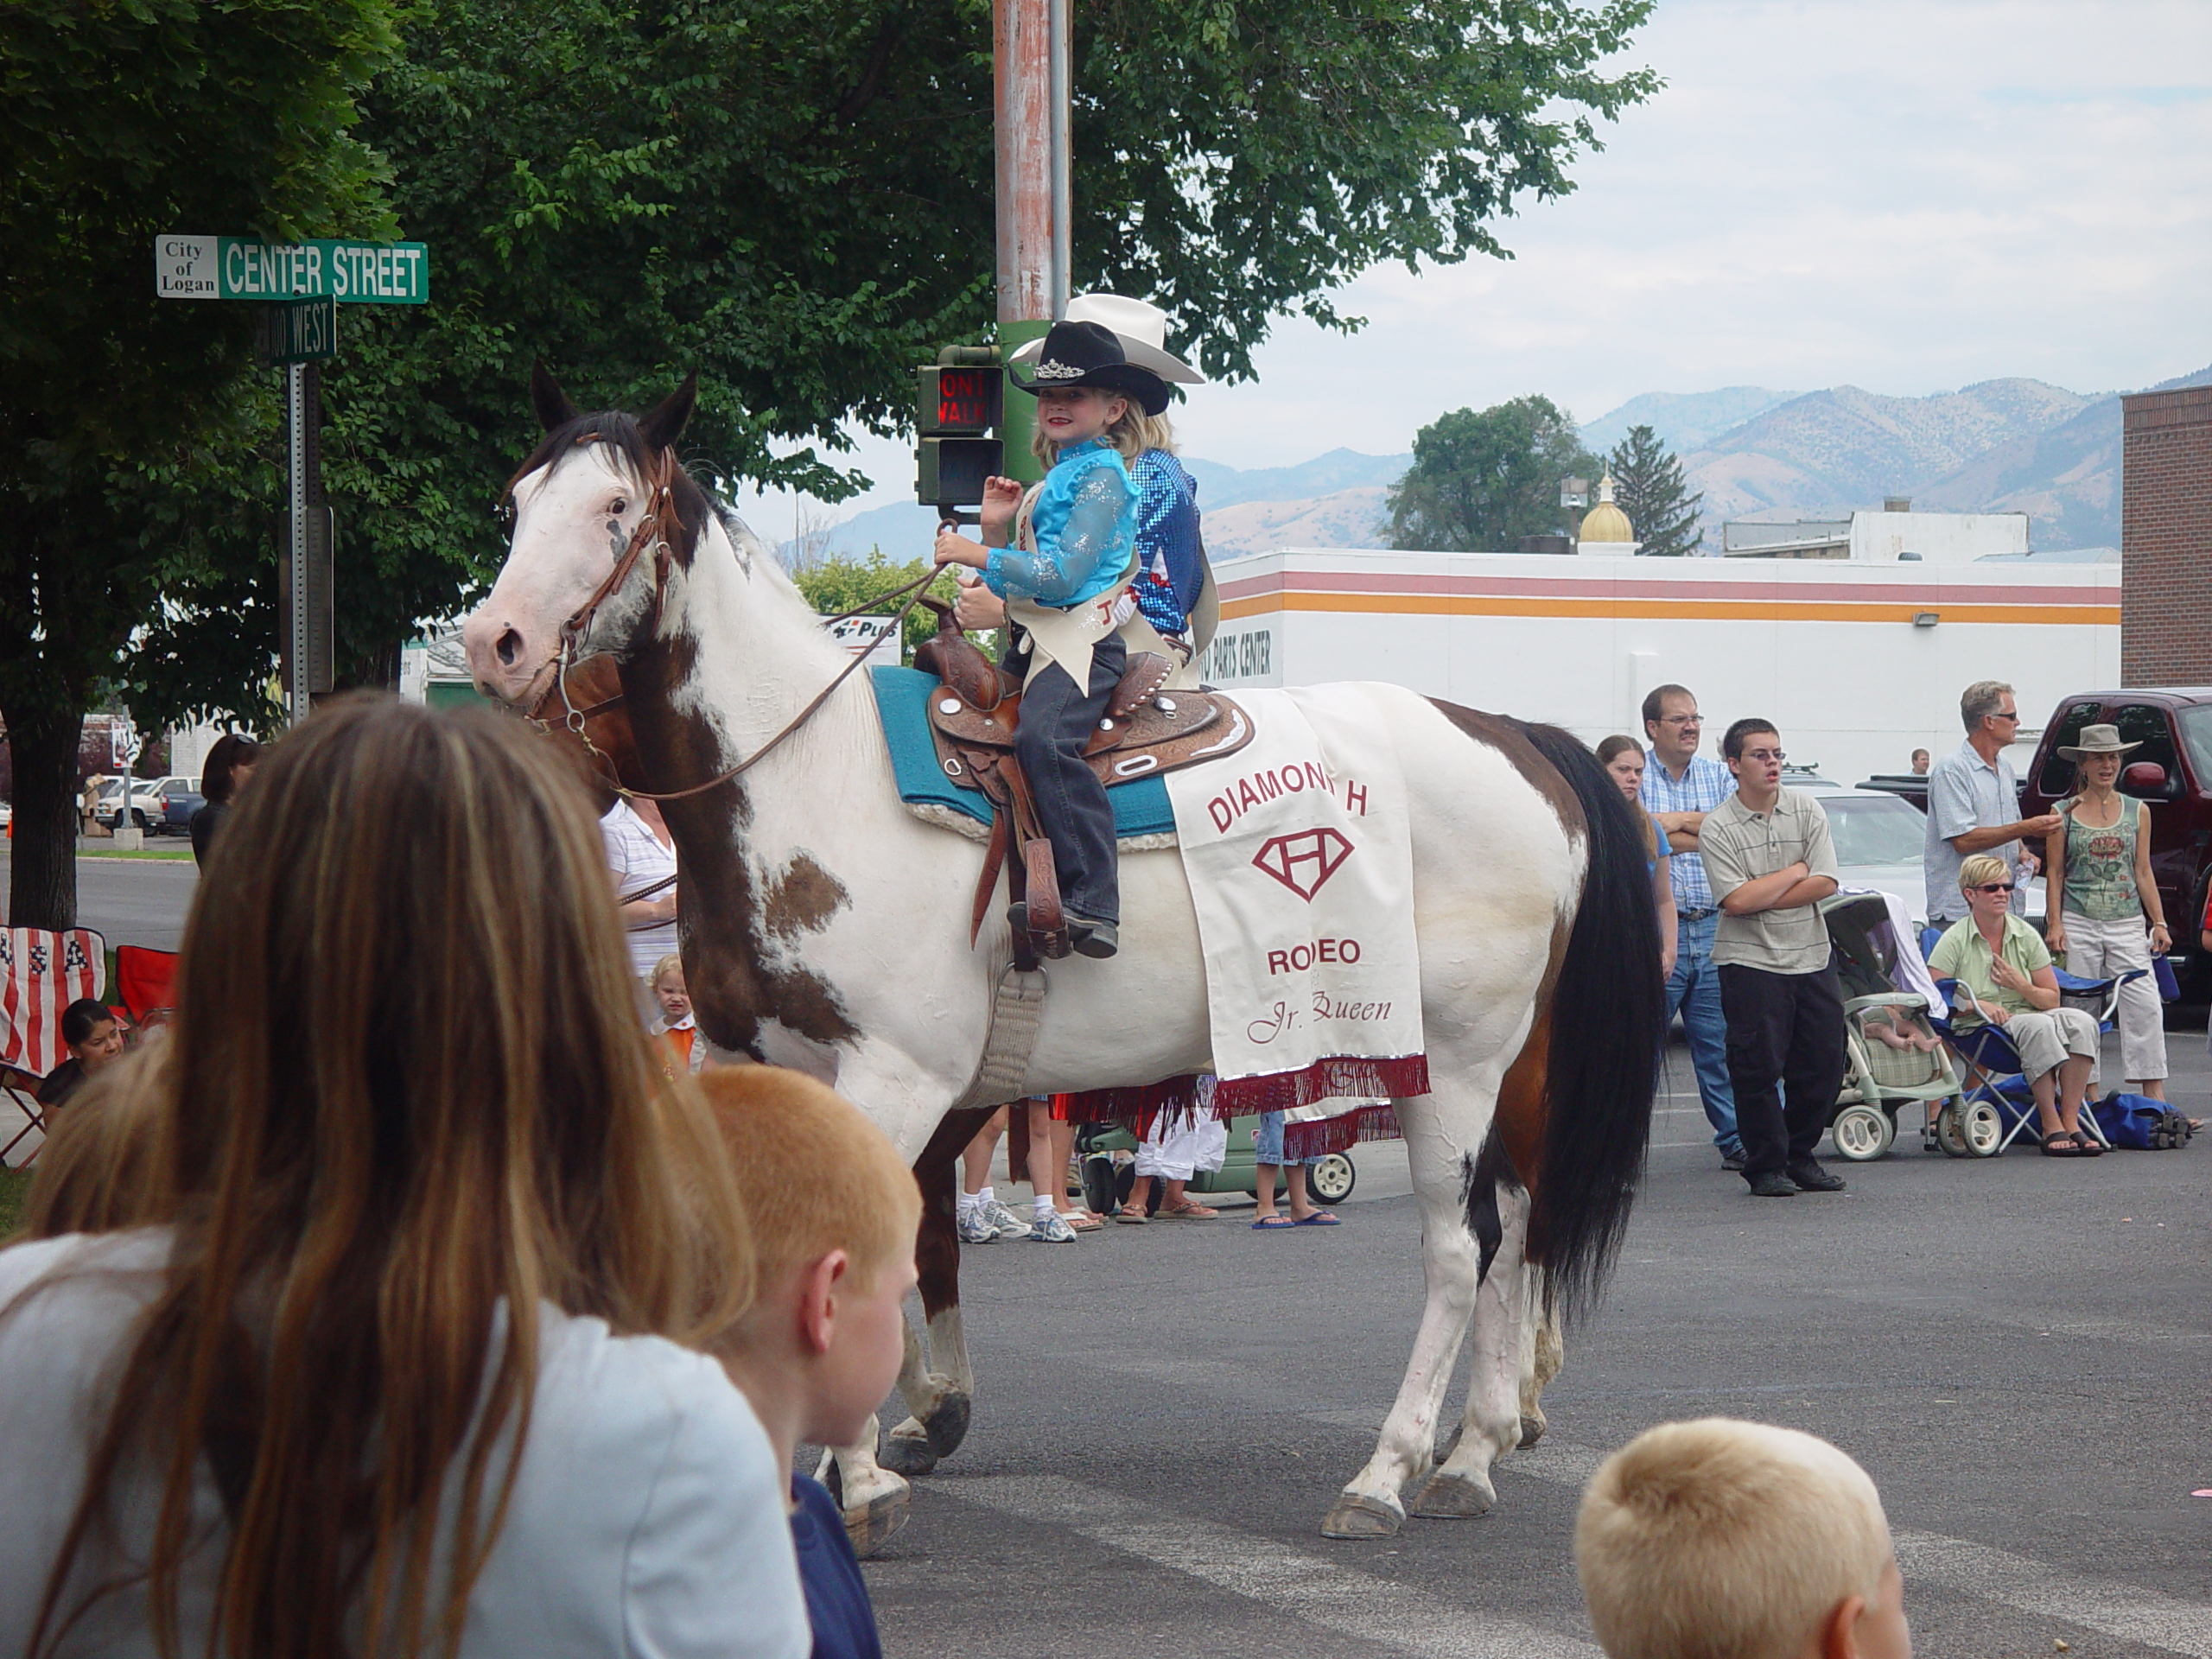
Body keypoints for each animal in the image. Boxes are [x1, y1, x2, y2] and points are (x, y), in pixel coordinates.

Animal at [462, 376, 1663, 1548]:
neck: (807, 776)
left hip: (1447, 1065)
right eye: (516, 503)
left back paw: (1387, 1473)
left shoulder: (899, 1077)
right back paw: (1472, 1453)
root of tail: (1517, 738)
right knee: (1515, 1228)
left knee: (1462, 1245)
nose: (494, 645)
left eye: (614, 508)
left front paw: (865, 1478)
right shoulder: (747, 1064)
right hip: (1503, 1069)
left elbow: (872, 1244)